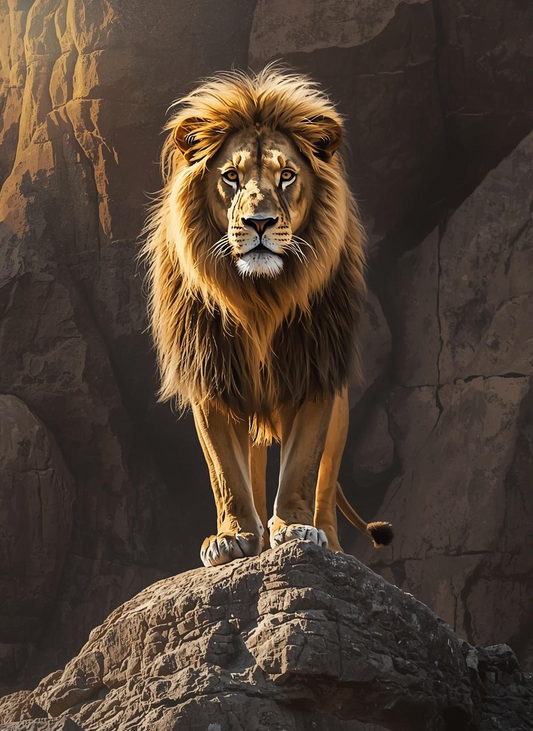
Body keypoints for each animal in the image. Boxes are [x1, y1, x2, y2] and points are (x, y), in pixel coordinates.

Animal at [142, 65, 393, 567]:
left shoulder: (315, 370)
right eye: (231, 176)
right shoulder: (212, 375)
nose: (259, 222)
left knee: (326, 486)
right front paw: (231, 537)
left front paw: (295, 528)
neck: (258, 297)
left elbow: (302, 466)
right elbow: (225, 472)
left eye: (288, 176)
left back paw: (329, 541)